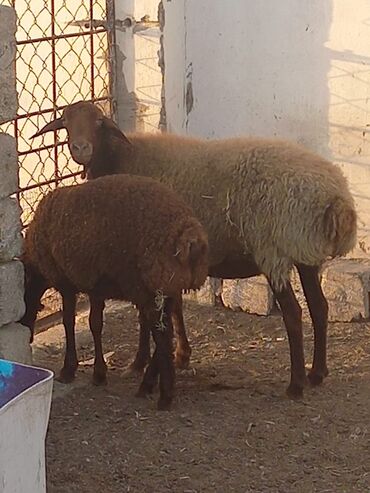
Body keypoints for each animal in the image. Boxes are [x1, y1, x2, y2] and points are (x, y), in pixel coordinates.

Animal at [32, 102, 358, 398]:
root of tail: (337, 196)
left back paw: (296, 384)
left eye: (99, 121)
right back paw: (317, 373)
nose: (80, 148)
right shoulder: (165, 263)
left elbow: (146, 315)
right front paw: (179, 355)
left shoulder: (141, 259)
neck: (122, 159)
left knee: (293, 313)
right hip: (305, 251)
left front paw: (141, 362)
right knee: (319, 307)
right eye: (66, 123)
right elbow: (173, 308)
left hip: (274, 252)